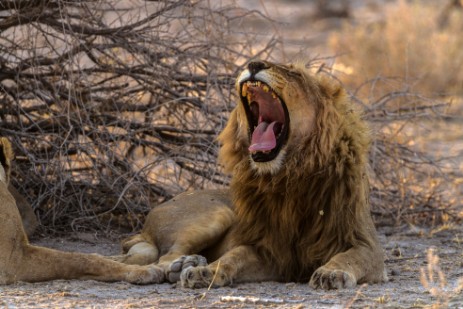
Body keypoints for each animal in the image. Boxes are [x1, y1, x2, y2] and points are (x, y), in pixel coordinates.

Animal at [112, 60, 388, 288]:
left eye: (293, 73)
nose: (254, 63)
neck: (289, 176)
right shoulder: (269, 249)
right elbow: (234, 255)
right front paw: (206, 272)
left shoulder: (366, 244)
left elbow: (350, 258)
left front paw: (331, 273)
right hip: (219, 213)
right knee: (164, 258)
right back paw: (183, 267)